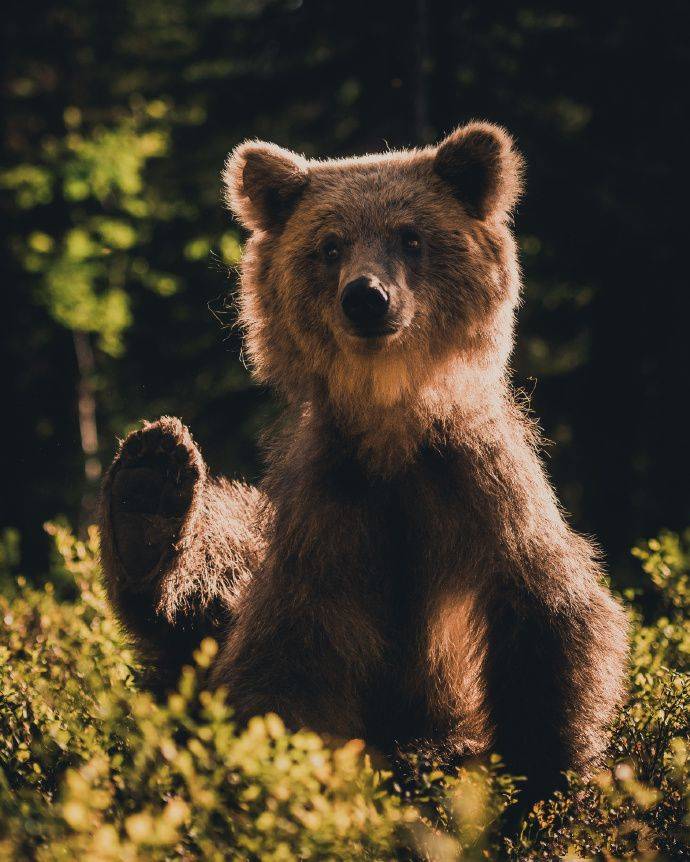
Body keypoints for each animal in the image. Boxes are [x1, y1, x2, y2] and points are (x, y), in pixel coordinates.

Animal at [98, 120, 628, 804]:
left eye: (411, 236)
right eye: (329, 246)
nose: (367, 297)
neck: (389, 428)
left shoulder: (476, 487)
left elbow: (546, 616)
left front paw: (546, 775)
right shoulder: (330, 509)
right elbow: (289, 655)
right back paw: (149, 491)